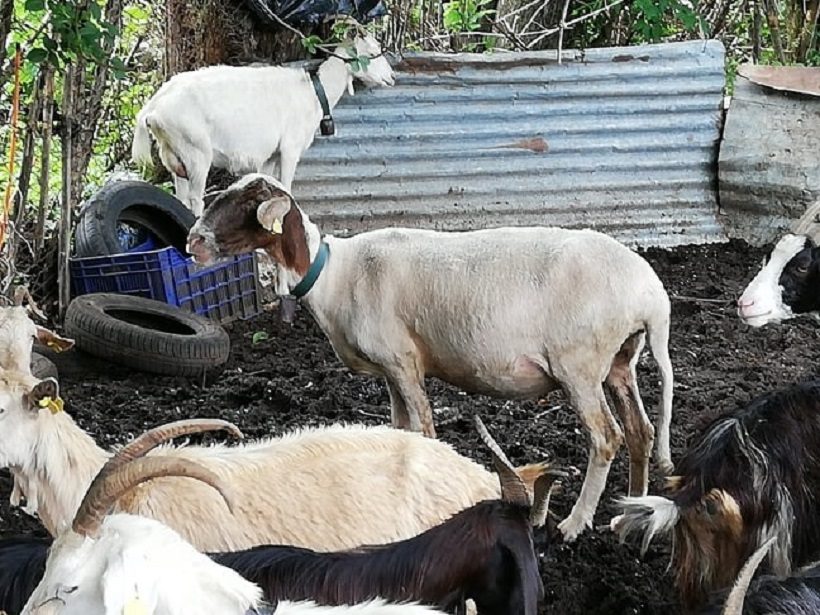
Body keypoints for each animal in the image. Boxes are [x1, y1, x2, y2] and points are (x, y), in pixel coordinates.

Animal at [131, 32, 394, 218]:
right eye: (373, 51)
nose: (391, 78)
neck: (312, 93)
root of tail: (153, 108)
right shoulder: (290, 148)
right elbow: (287, 187)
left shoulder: (269, 156)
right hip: (195, 152)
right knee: (196, 198)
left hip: (175, 156)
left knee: (181, 197)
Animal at [189, 172, 676, 540]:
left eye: (250, 201)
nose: (193, 242)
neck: (331, 274)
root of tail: (651, 297)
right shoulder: (391, 369)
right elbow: (400, 428)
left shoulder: (402, 360)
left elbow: (423, 429)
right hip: (620, 360)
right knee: (641, 431)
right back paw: (628, 512)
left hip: (579, 365)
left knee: (607, 437)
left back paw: (575, 524)